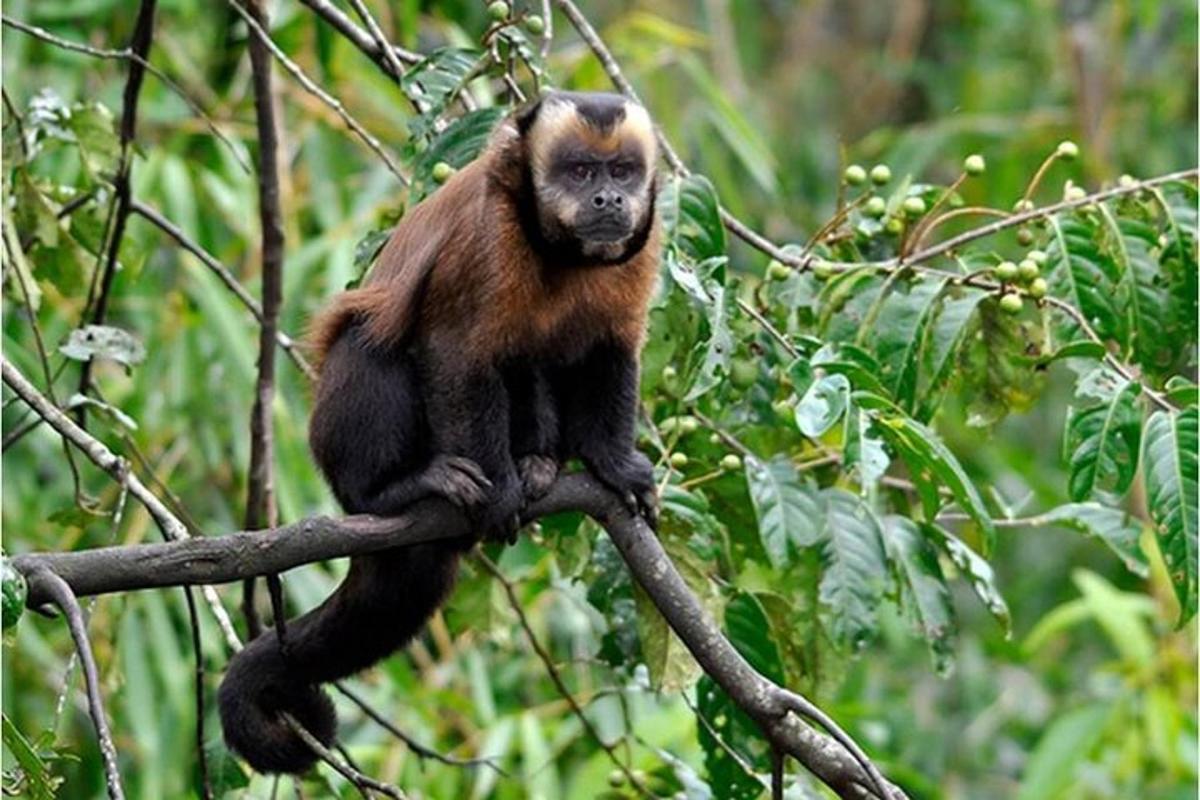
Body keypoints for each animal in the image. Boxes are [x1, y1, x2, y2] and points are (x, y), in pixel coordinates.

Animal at [218, 90, 667, 772]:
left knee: (532, 357)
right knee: (370, 342)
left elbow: (609, 353)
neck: (557, 249)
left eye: (621, 173)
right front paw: (501, 492)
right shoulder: (487, 236)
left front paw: (612, 467)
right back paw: (394, 491)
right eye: (580, 172)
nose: (609, 200)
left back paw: (538, 463)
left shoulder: (642, 246)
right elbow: (457, 354)